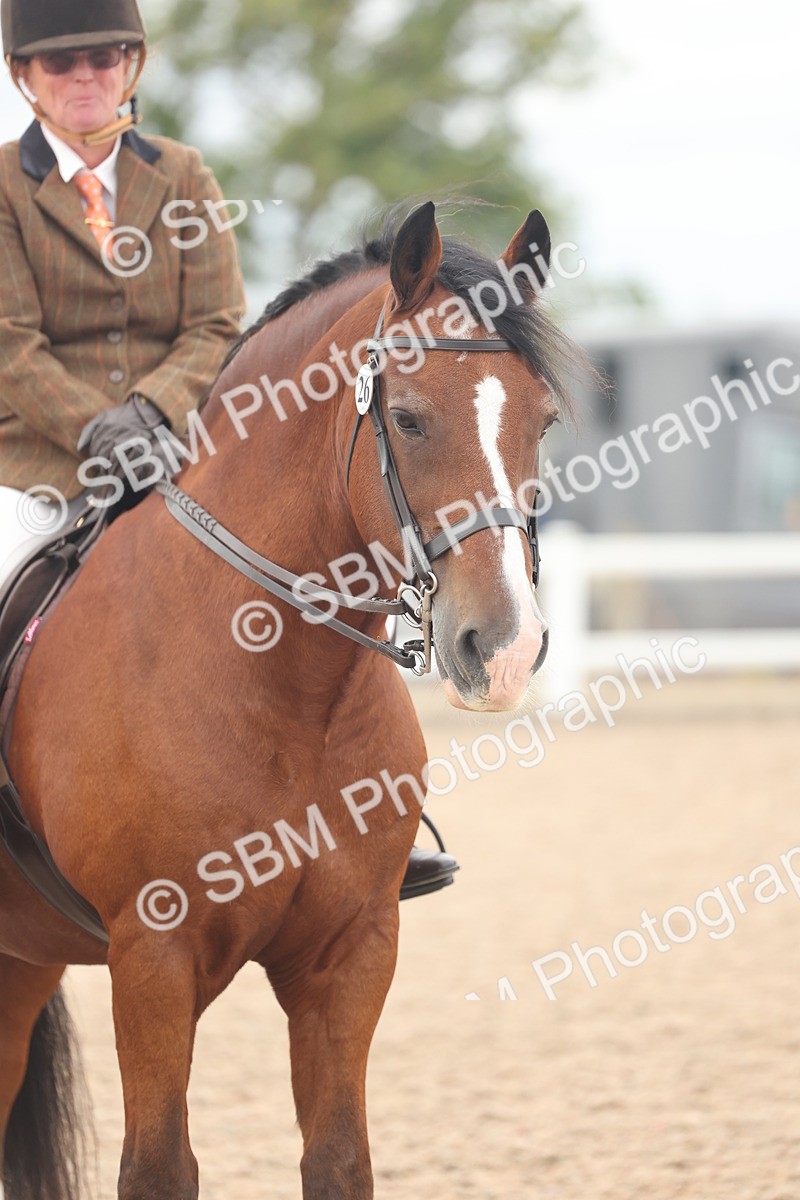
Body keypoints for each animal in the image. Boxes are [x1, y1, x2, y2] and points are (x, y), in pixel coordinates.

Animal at [0, 200, 578, 1199]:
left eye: (540, 424)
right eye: (409, 420)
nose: (505, 652)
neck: (287, 694)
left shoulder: (352, 951)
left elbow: (339, 1157)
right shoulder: (152, 958)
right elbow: (157, 1165)